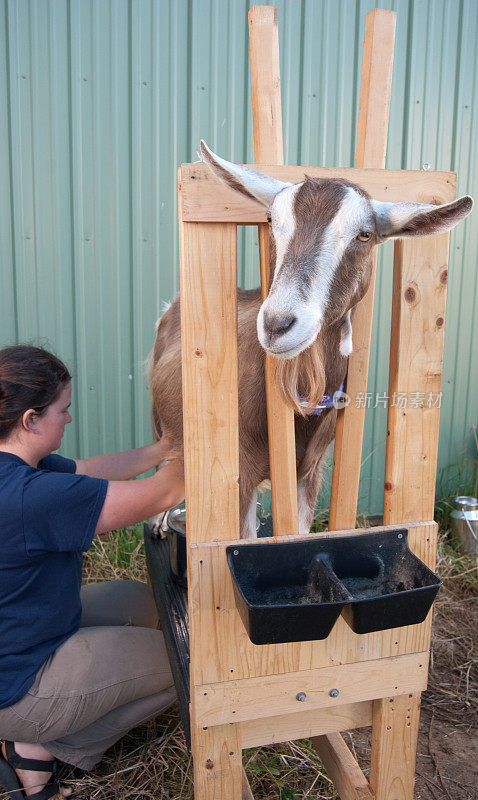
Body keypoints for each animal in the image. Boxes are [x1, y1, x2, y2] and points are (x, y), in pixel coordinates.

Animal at [148, 145, 470, 536]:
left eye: (364, 234)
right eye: (271, 220)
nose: (277, 324)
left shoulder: (310, 471)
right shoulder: (238, 476)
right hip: (161, 428)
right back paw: (160, 522)